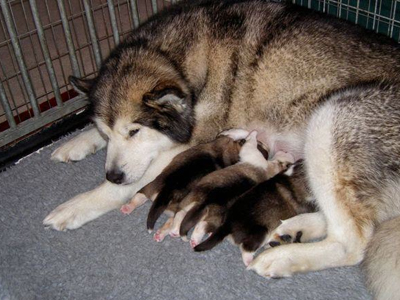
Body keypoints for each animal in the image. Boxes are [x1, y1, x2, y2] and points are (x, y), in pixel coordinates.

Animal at [43, 1, 400, 298]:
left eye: (135, 131)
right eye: (107, 132)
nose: (113, 175)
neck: (176, 59)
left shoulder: (189, 144)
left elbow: (130, 183)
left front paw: (77, 205)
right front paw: (76, 142)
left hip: (330, 118)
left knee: (354, 243)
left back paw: (282, 258)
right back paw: (294, 229)